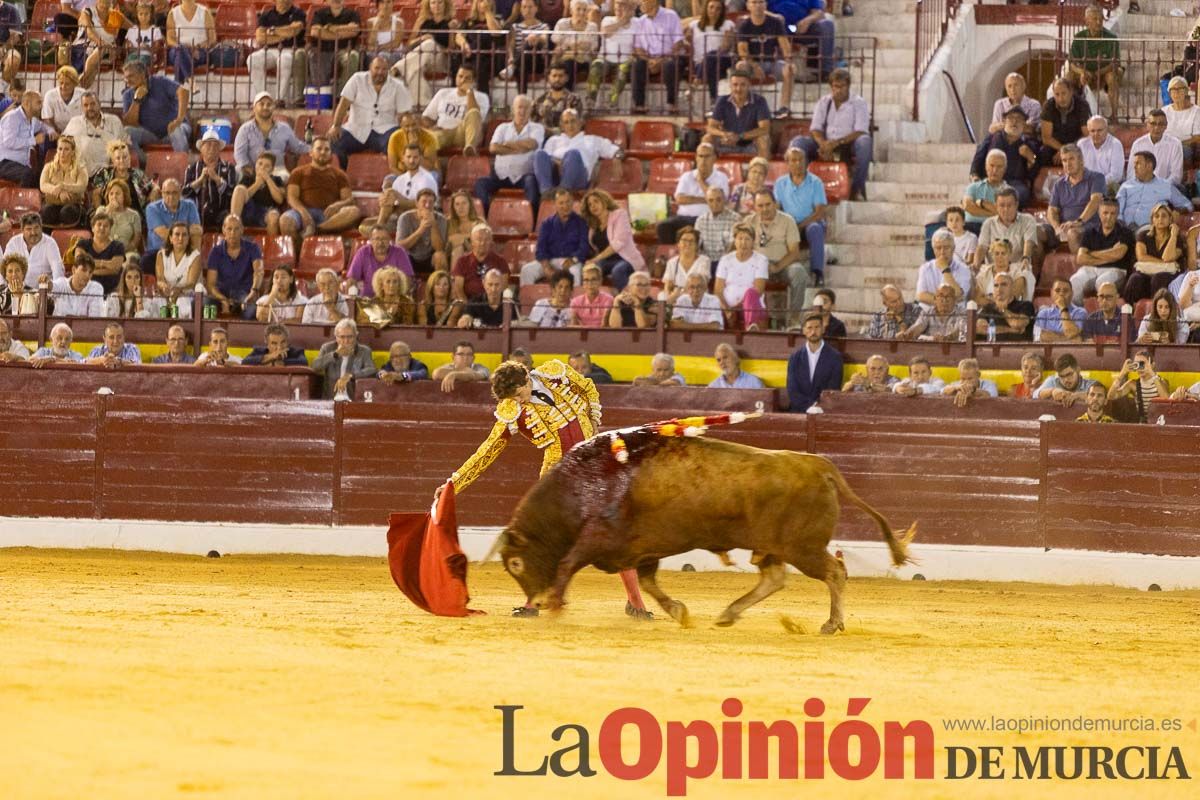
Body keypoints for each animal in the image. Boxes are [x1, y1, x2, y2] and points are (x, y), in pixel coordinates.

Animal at [496, 429, 916, 633]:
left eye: (515, 564)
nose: (532, 601)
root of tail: (818, 464)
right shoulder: (644, 550)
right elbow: (647, 581)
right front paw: (678, 612)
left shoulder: (598, 541)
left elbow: (568, 563)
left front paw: (554, 604)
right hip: (773, 547)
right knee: (774, 578)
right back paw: (728, 614)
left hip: (804, 548)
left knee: (834, 572)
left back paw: (831, 623)